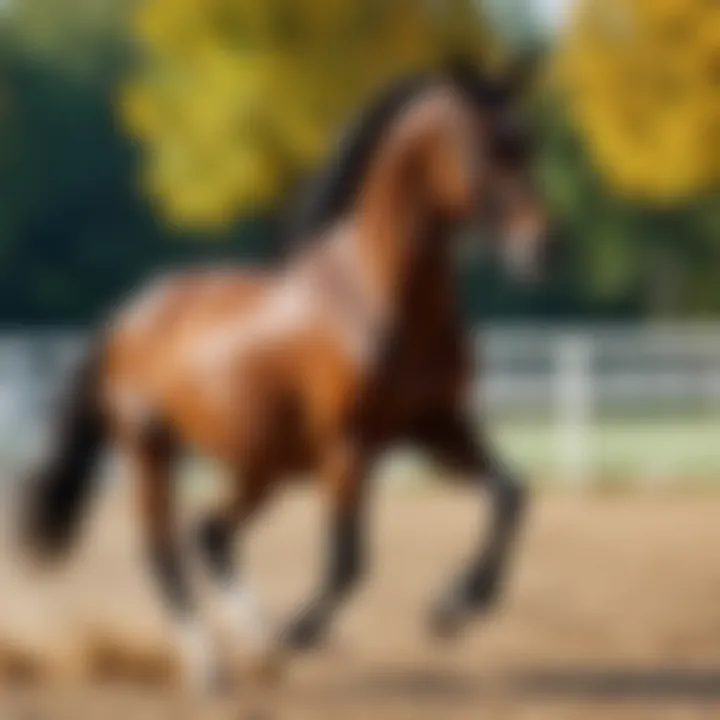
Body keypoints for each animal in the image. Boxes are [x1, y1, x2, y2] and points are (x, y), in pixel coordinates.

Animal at [21, 62, 544, 688]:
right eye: (484, 147)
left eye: (528, 144)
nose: (541, 248)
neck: (374, 296)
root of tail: (131, 316)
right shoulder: (349, 447)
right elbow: (348, 561)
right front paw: (303, 632)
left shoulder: (440, 428)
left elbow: (511, 496)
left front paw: (454, 608)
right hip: (151, 449)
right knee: (164, 550)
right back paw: (211, 665)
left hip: (260, 465)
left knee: (211, 533)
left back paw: (259, 642)